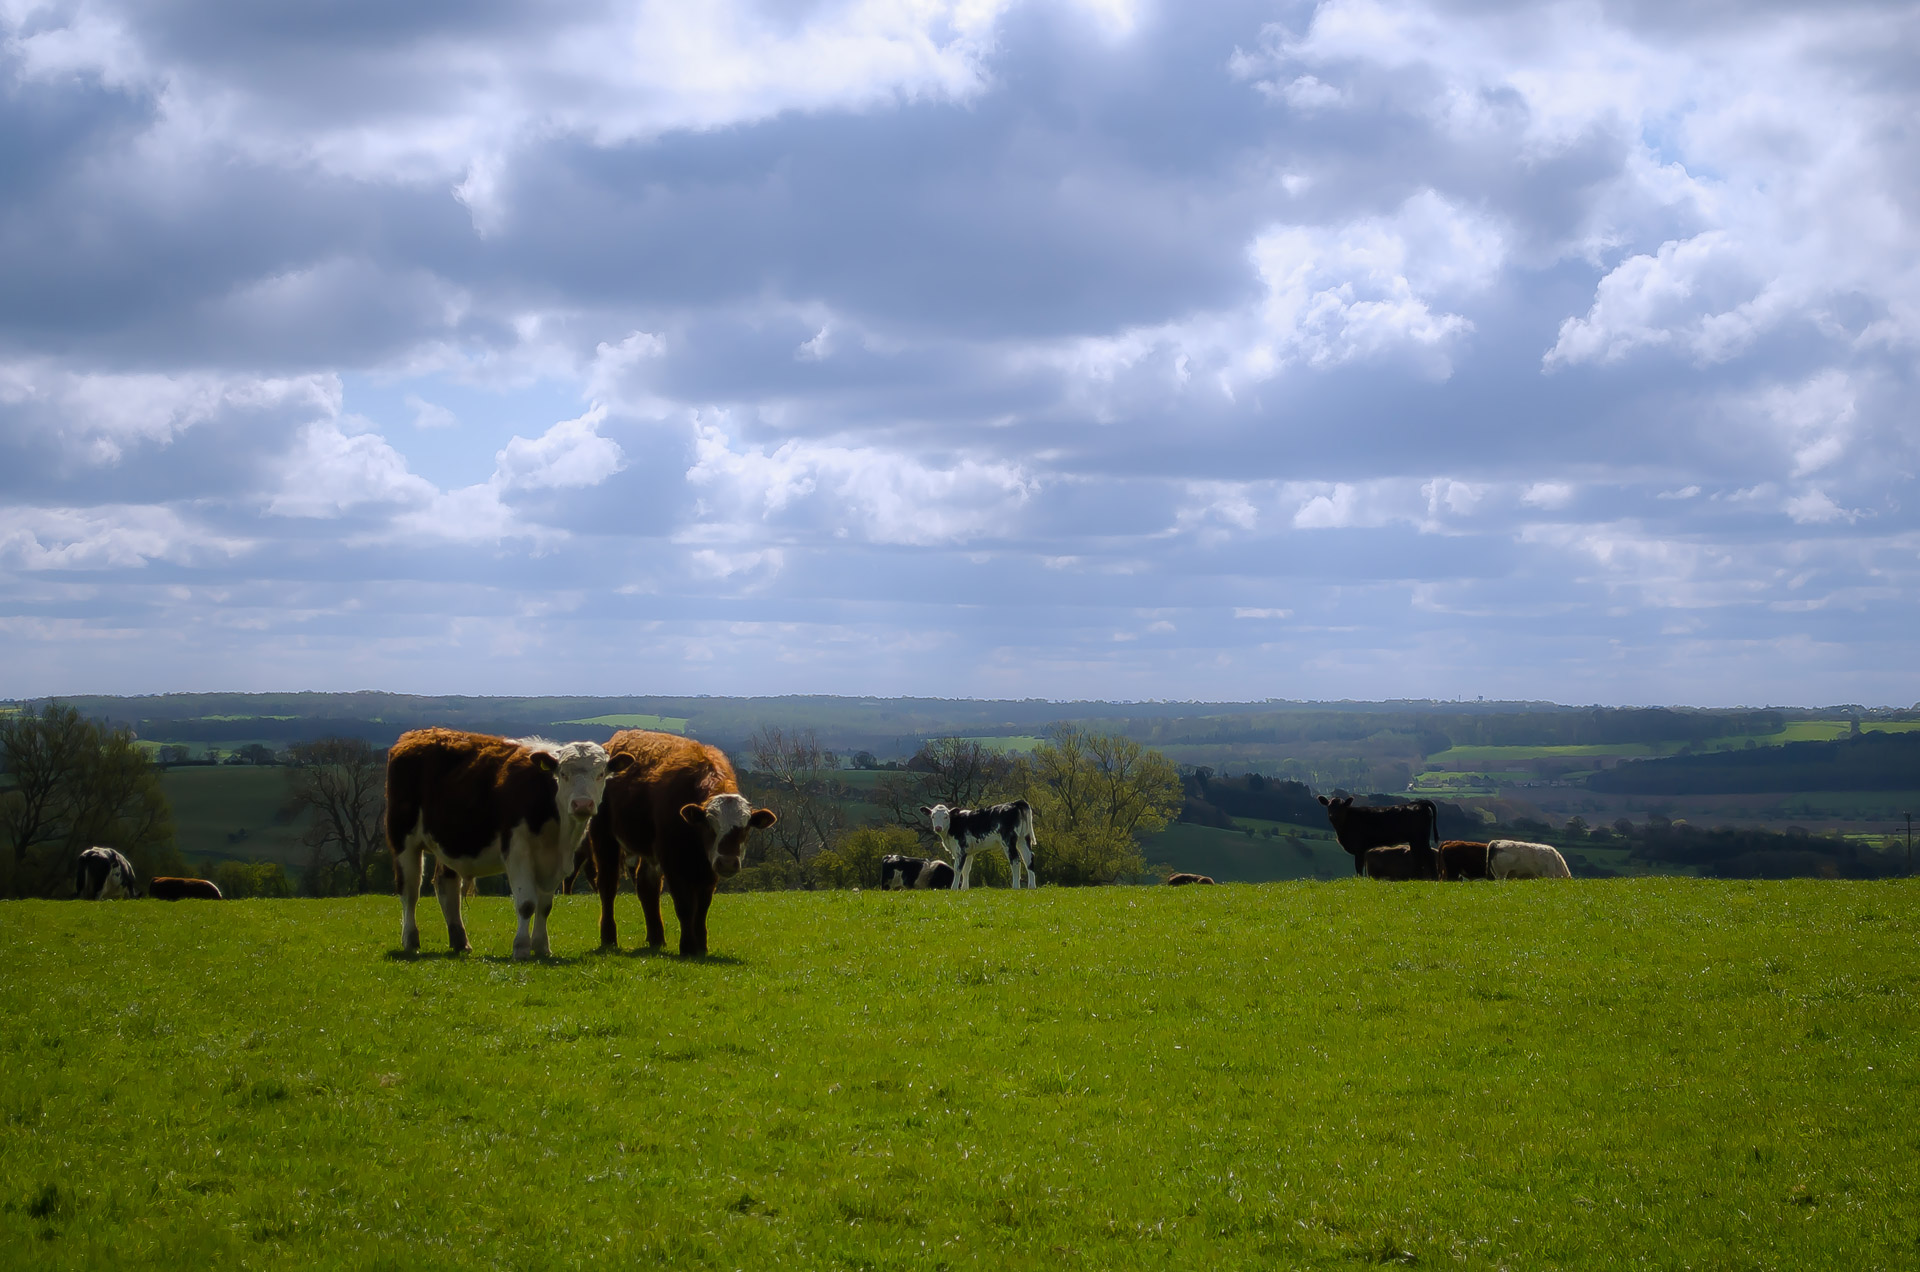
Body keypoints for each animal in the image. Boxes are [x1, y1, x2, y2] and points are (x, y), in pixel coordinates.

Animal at [384, 733, 629, 960]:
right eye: (563, 774)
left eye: (600, 774)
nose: (582, 804)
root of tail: (415, 736)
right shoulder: (518, 851)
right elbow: (527, 904)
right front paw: (521, 948)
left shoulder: (554, 861)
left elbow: (545, 906)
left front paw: (542, 947)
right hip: (403, 838)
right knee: (410, 891)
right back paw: (411, 941)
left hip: (450, 842)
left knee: (446, 886)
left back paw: (460, 942)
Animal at [583, 726, 771, 956]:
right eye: (710, 826)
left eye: (745, 828)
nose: (727, 862)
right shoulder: (672, 861)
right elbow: (685, 905)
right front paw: (688, 946)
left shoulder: (708, 868)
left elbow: (702, 907)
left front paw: (701, 946)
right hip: (604, 837)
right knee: (608, 885)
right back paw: (609, 938)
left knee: (647, 886)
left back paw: (656, 938)